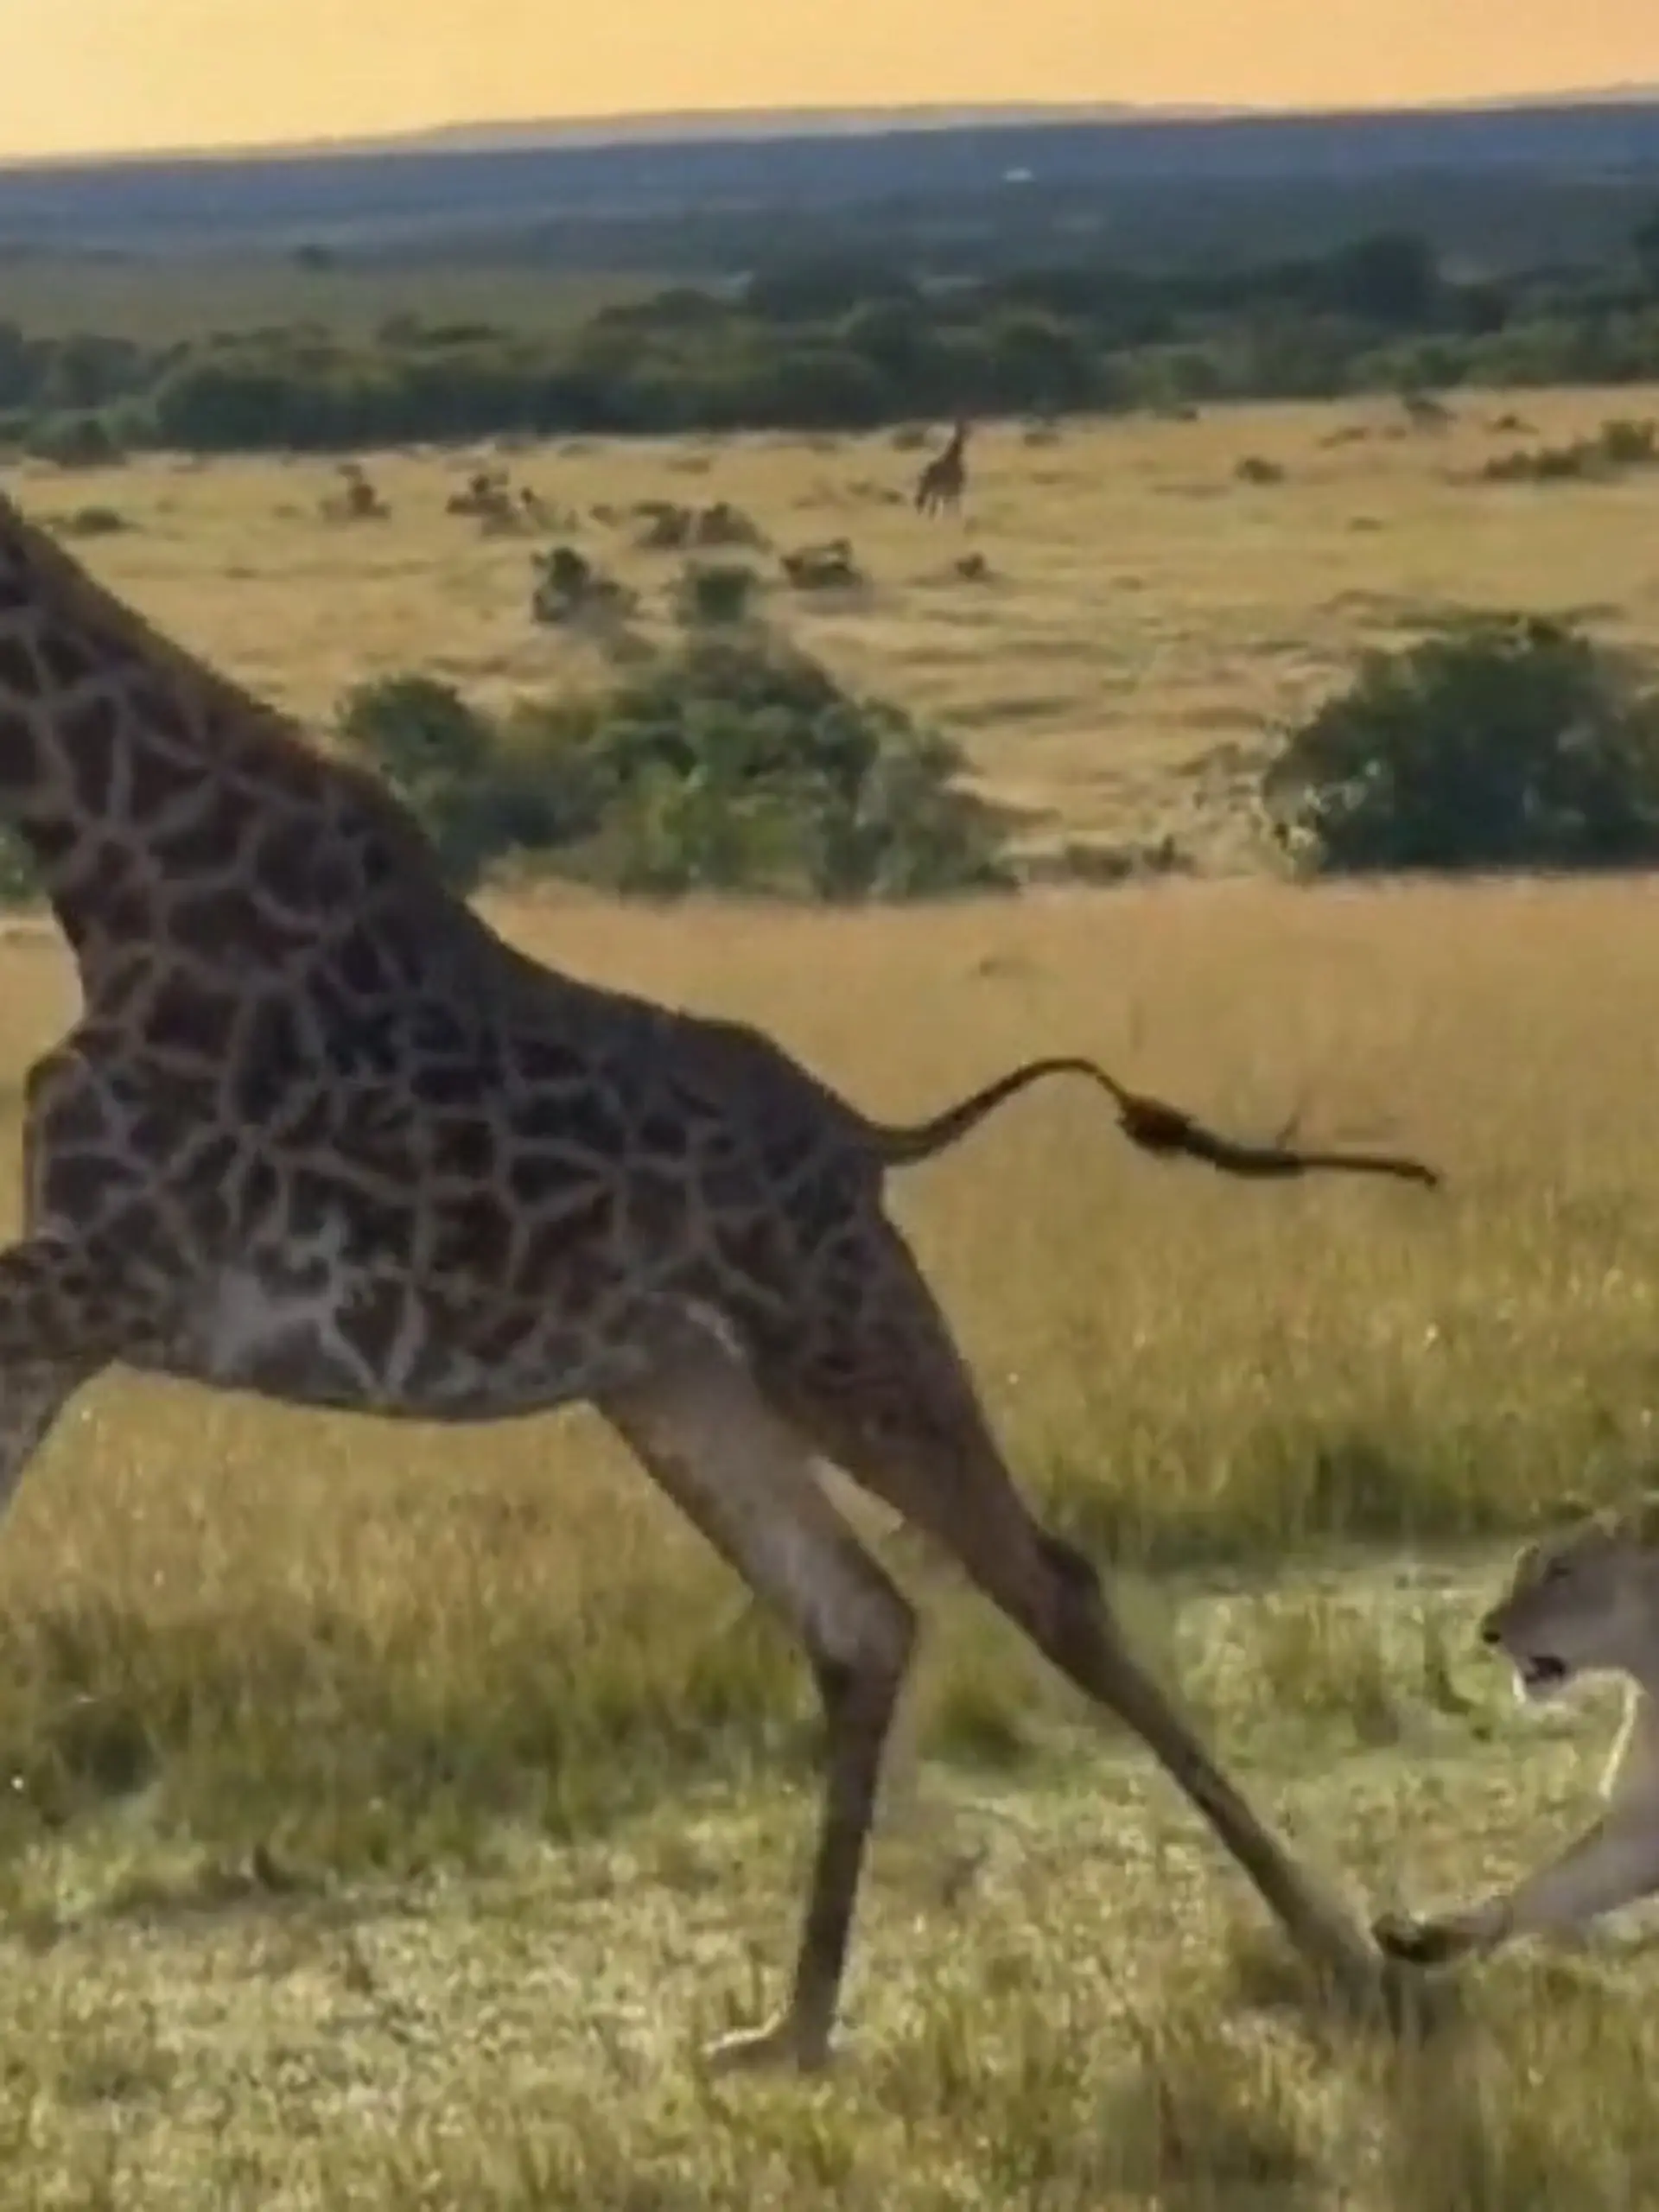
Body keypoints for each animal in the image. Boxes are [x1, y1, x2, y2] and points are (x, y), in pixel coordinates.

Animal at [0, 479, 1438, 2071]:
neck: (117, 873)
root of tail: (869, 1139)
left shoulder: (114, 1270)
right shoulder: (84, 1290)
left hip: (835, 1328)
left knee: (1044, 1584)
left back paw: (1351, 1960)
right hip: (678, 1381)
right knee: (864, 1621)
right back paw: (791, 2027)